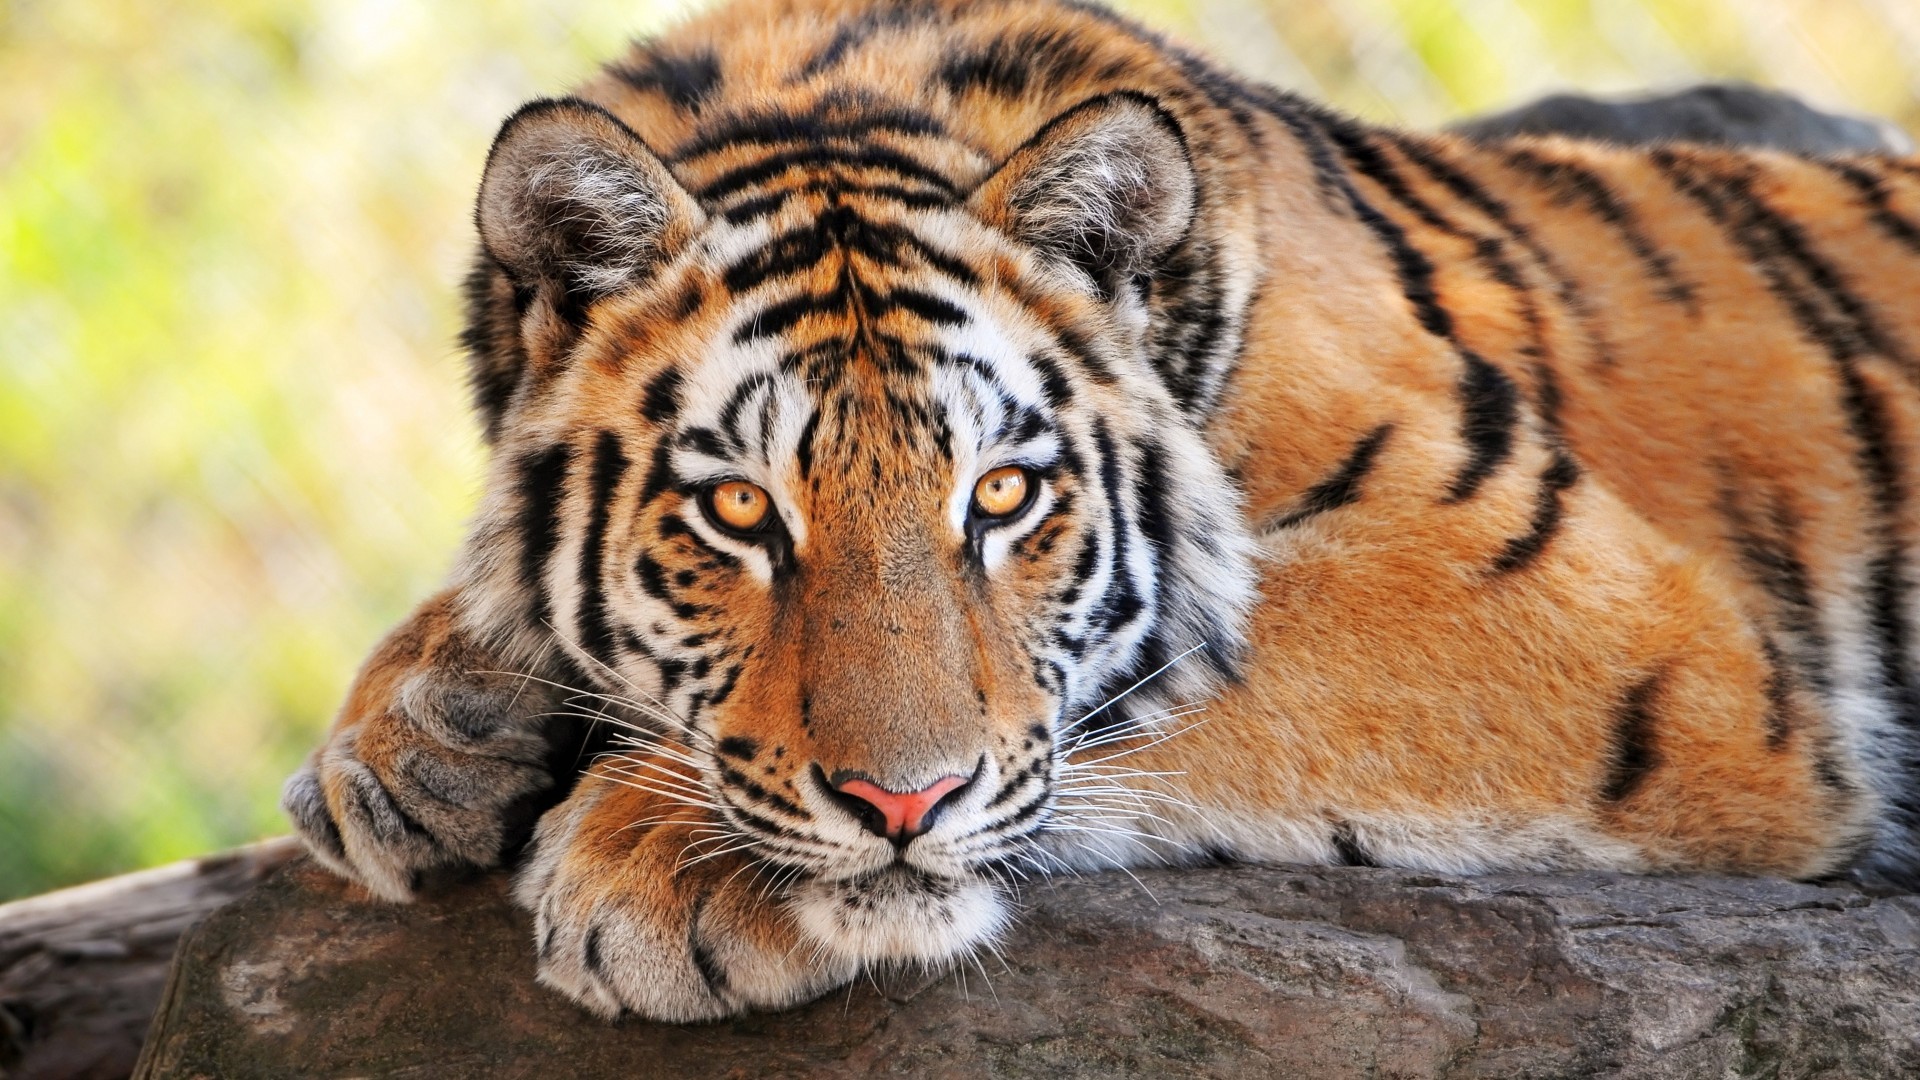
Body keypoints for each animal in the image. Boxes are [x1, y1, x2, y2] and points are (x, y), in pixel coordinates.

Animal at [281, 0, 1920, 1022]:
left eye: (1003, 495)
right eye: (740, 511)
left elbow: (1155, 693)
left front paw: (659, 862)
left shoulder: (1590, 616)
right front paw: (413, 736)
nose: (900, 810)